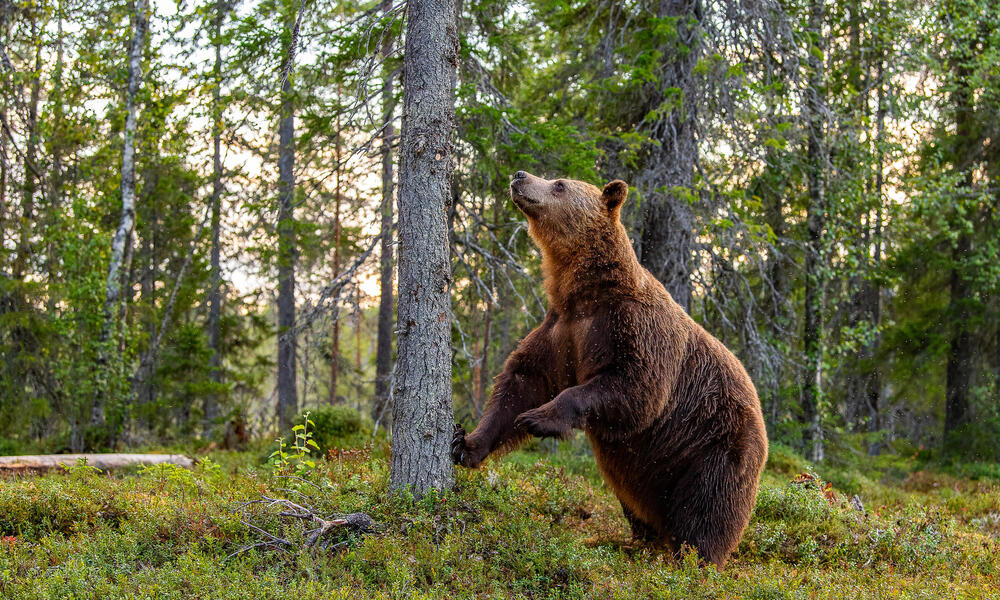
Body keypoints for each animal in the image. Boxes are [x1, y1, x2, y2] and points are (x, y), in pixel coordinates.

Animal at [450, 170, 768, 568]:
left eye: (559, 184)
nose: (520, 175)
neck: (585, 290)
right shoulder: (561, 330)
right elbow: (522, 381)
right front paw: (466, 444)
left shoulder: (633, 329)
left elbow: (633, 388)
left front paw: (538, 419)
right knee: (642, 503)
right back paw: (638, 541)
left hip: (716, 445)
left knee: (708, 507)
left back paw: (691, 559)